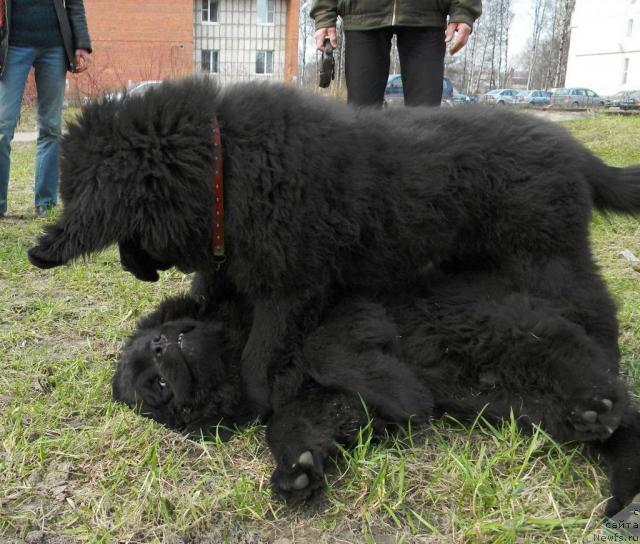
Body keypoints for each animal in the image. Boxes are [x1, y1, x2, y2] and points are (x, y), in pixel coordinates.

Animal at [28, 76, 640, 412]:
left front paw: (256, 401)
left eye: (126, 234)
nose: (138, 274)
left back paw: (606, 371)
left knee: (597, 307)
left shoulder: (288, 287)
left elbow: (258, 352)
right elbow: (211, 285)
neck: (225, 166)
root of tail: (575, 149)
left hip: (546, 252)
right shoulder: (239, 258)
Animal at [112, 272, 640, 520]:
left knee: (575, 361)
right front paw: (297, 471)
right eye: (157, 387)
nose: (159, 347)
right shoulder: (316, 401)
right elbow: (290, 426)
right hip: (513, 399)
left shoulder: (342, 309)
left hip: (492, 324)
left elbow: (324, 348)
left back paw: (595, 402)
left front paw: (401, 393)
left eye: (161, 340)